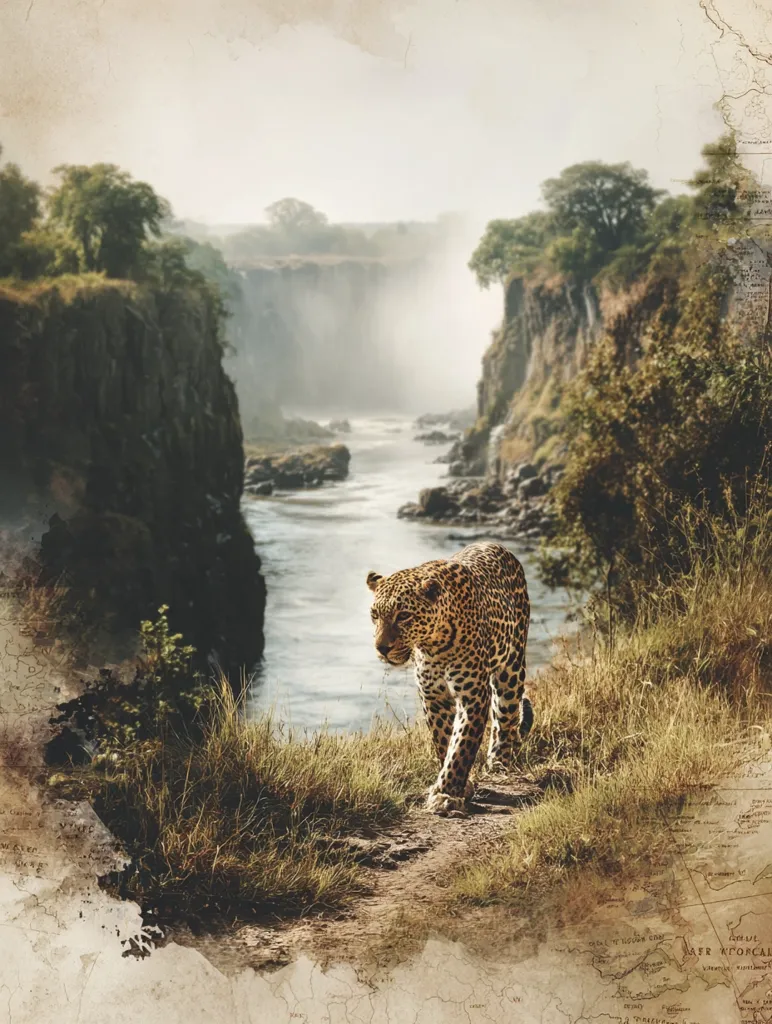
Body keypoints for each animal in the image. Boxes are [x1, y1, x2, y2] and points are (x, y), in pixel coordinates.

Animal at [366, 541, 531, 816]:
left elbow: (462, 745)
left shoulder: (474, 696)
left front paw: (446, 795)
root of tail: (497, 545)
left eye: (403, 615)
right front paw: (461, 787)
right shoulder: (433, 697)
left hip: (511, 669)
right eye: (375, 615)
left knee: (506, 717)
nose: (382, 648)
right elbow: (444, 741)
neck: (434, 644)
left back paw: (499, 761)